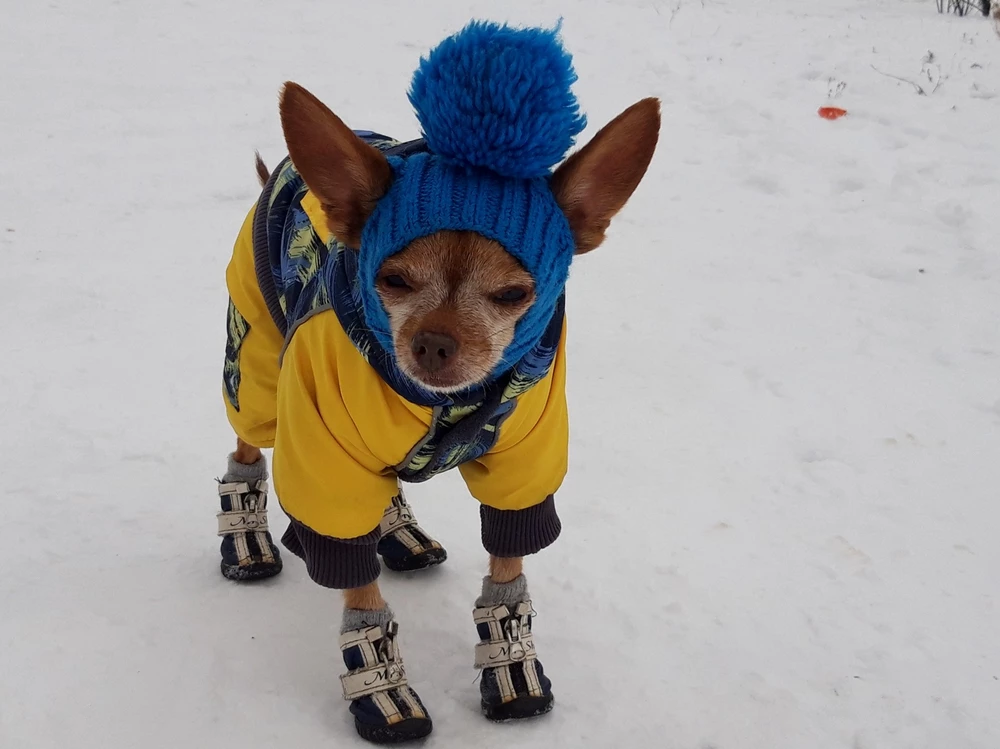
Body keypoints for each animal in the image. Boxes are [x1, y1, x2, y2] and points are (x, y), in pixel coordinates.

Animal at [215, 21, 660, 744]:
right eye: (392, 279)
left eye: (513, 294)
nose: (435, 341)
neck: (439, 404)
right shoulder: (326, 461)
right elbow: (358, 592)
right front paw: (382, 685)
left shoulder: (523, 467)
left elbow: (508, 568)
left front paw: (512, 663)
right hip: (253, 366)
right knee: (246, 447)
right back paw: (246, 539)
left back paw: (398, 530)